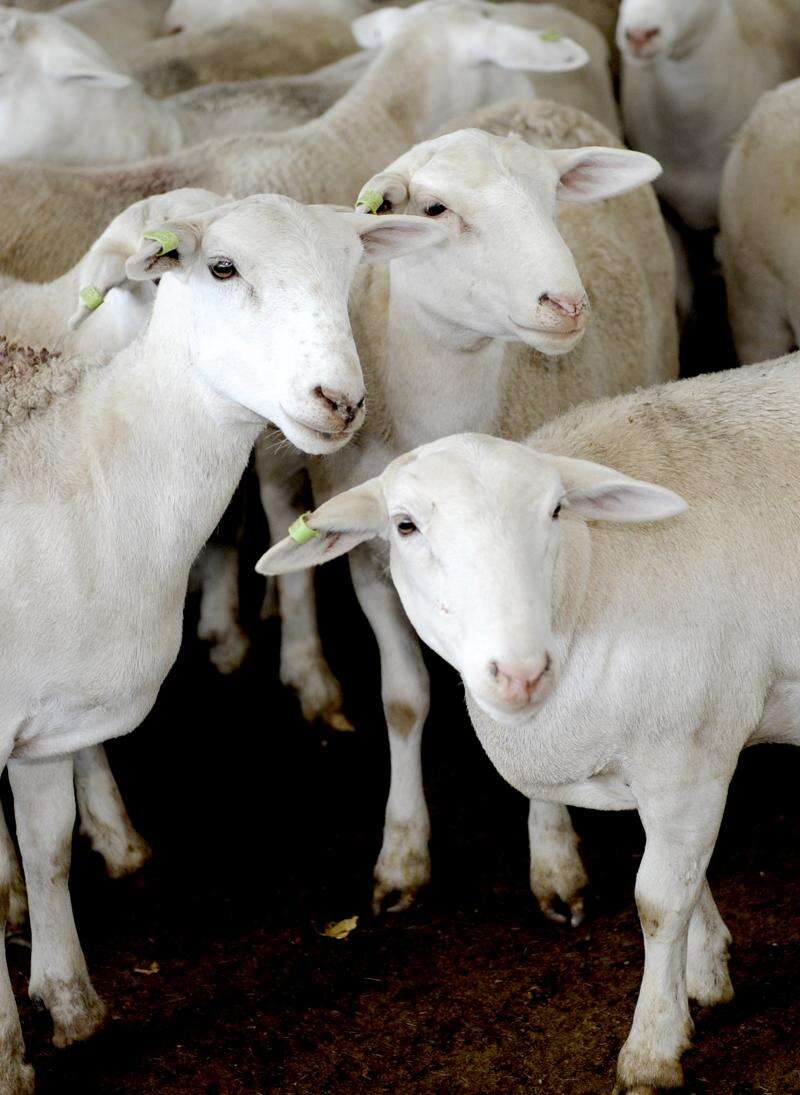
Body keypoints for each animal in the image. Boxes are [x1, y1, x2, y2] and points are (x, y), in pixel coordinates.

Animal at [0, 193, 445, 1091]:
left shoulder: (45, 715)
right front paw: (9, 1053)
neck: (85, 465)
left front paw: (71, 1004)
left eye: (351, 266)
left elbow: (49, 846)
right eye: (221, 267)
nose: (341, 400)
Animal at [255, 100, 677, 918]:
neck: (445, 411)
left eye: (552, 197)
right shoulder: (371, 561)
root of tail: (537, 103)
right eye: (435, 210)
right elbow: (402, 699)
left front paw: (555, 862)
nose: (566, 304)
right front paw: (402, 856)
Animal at [260, 352, 800, 1094]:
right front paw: (706, 972)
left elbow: (659, 898)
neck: (592, 576)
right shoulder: (674, 755)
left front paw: (652, 1051)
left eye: (555, 510)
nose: (519, 672)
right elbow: (688, 876)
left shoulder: (686, 750)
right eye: (404, 526)